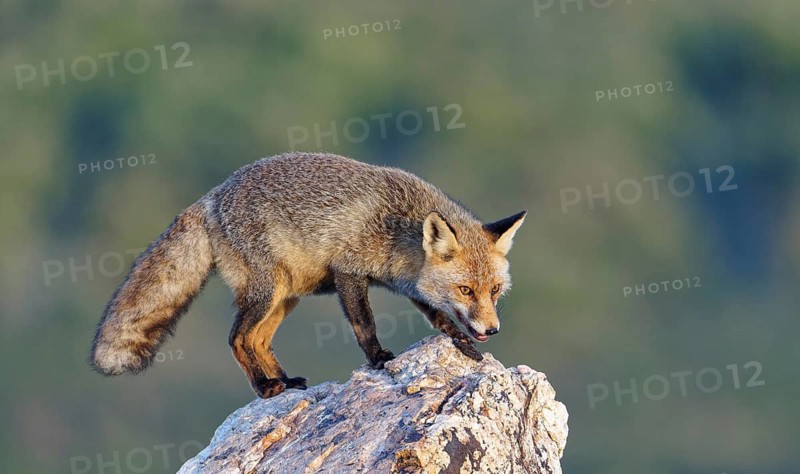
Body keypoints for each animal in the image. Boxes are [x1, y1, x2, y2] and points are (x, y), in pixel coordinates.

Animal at [89, 152, 526, 398]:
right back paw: (265, 388)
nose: (492, 329)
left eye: (494, 290)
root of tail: (212, 196)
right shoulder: (349, 271)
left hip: (286, 296)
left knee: (259, 341)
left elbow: (439, 317)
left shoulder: (409, 283)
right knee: (237, 339)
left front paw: (463, 344)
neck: (398, 230)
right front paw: (379, 359)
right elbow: (364, 325)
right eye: (466, 289)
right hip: (267, 292)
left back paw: (286, 382)